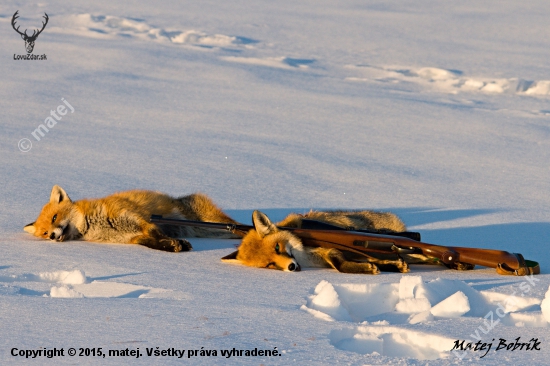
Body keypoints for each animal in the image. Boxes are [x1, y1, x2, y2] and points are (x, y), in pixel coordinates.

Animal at [24, 186, 239, 252]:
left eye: (55, 217)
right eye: (44, 233)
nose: (52, 236)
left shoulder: (139, 219)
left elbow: (155, 233)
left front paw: (175, 244)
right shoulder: (132, 237)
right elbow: (151, 243)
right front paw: (171, 246)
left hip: (215, 225)